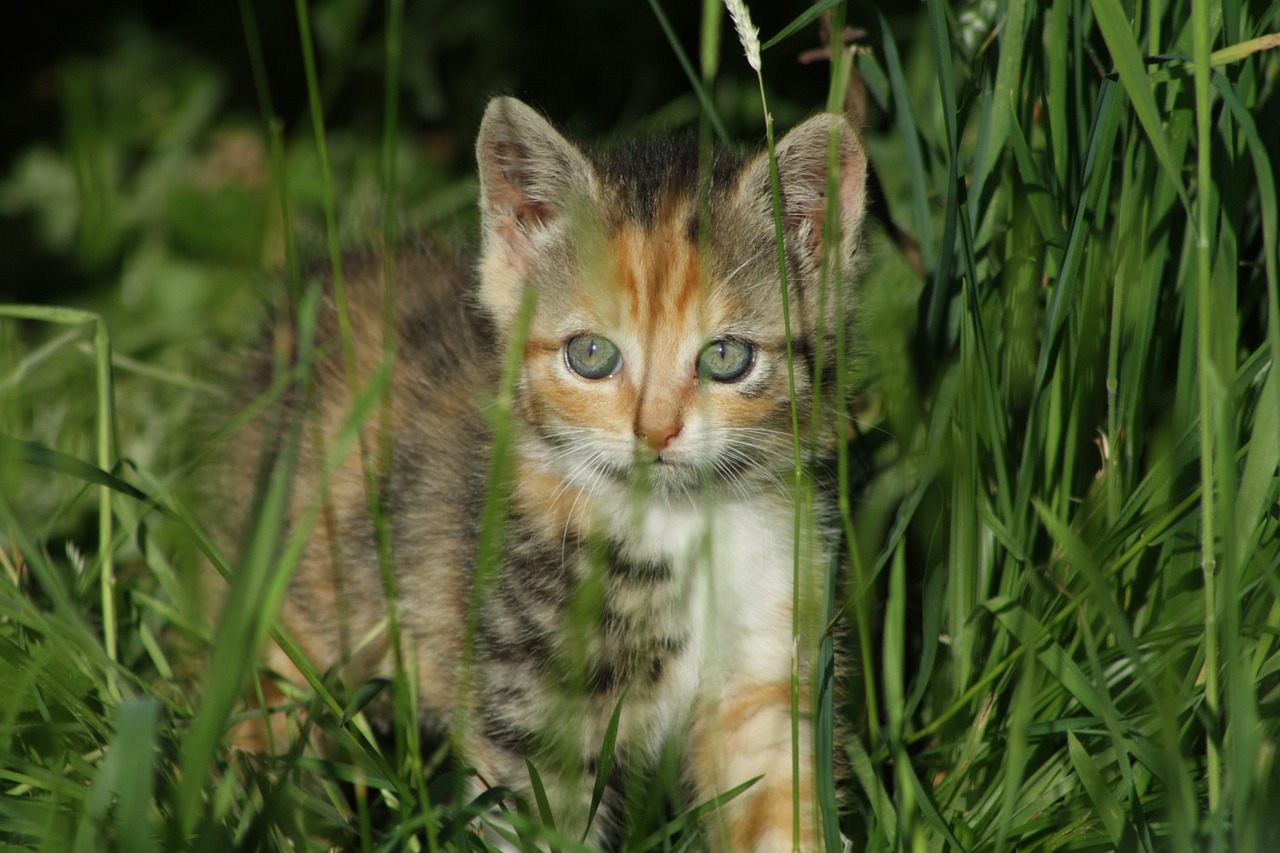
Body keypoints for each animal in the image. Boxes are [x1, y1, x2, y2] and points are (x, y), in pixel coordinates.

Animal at [215, 96, 865, 845]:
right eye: (591, 354)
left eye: (726, 357)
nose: (656, 430)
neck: (679, 523)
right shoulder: (531, 708)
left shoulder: (769, 670)